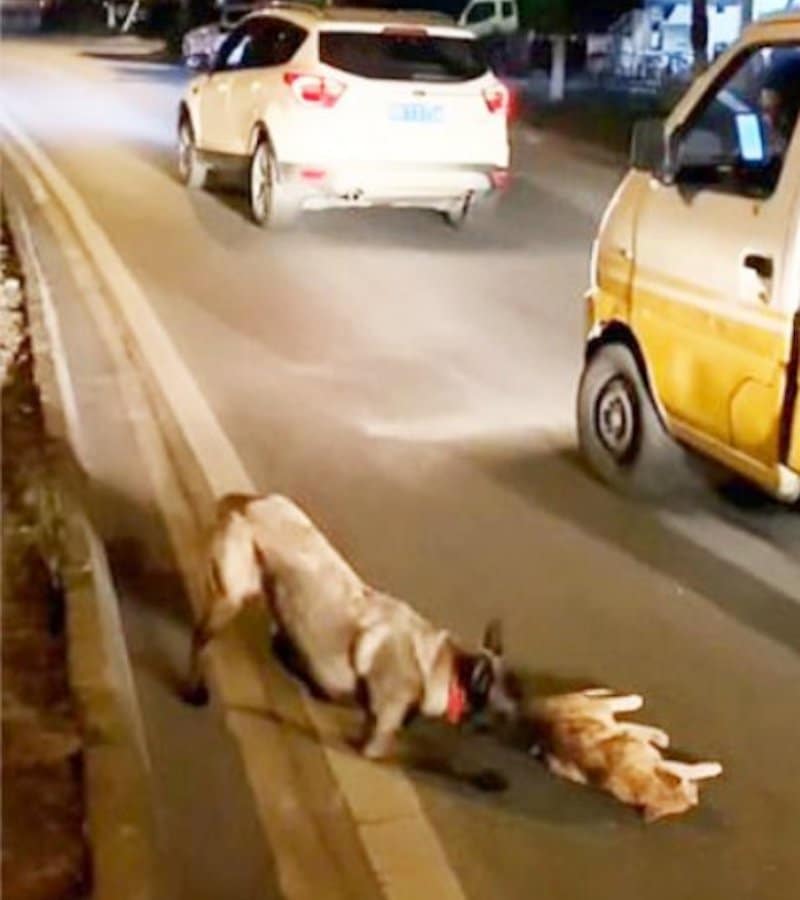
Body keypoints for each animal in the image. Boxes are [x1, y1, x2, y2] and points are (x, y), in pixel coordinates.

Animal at [184, 492, 512, 760]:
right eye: (507, 709)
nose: (520, 718)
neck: (440, 663)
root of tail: (248, 501)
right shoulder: (374, 745)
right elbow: (409, 752)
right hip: (229, 600)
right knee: (199, 641)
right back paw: (195, 688)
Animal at [528, 688, 720, 824]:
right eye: (691, 796)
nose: (696, 801)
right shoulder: (655, 758)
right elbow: (689, 768)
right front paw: (713, 767)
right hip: (600, 709)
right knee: (613, 703)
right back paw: (635, 701)